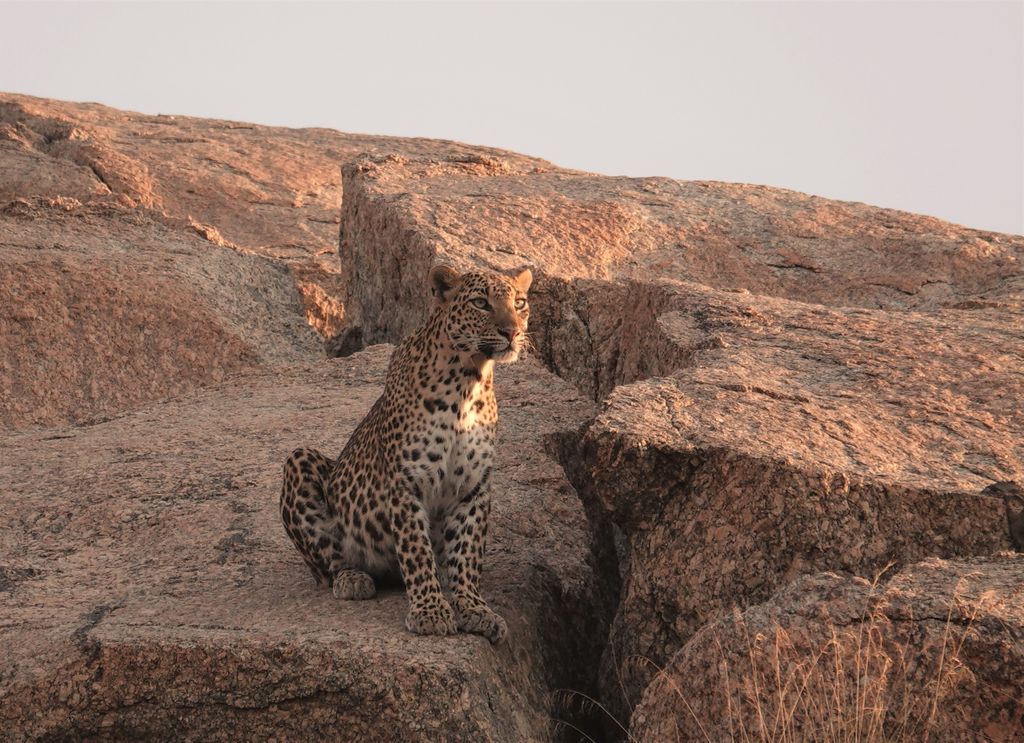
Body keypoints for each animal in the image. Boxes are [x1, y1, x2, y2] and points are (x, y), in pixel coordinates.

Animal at [280, 264, 536, 642]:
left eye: (519, 303)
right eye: (480, 303)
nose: (512, 332)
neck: (469, 381)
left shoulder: (473, 489)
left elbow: (467, 553)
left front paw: (475, 608)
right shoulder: (406, 483)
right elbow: (416, 550)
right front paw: (430, 611)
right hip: (300, 459)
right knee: (328, 564)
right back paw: (352, 579)